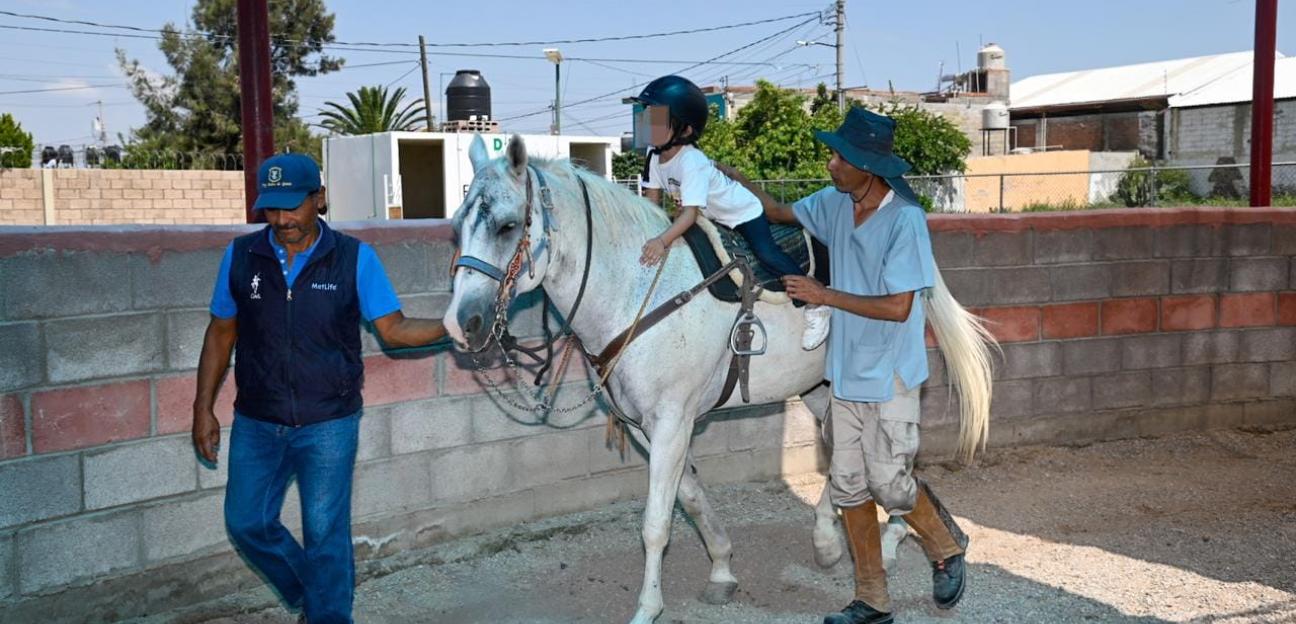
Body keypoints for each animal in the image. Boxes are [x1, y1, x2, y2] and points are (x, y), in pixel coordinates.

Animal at [443, 136, 990, 622]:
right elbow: (690, 498)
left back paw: (878, 542)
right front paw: (722, 571)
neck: (637, 289)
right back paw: (851, 540)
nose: (460, 324)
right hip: (821, 391)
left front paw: (647, 608)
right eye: (458, 227)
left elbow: (656, 523)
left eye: (508, 225)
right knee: (853, 462)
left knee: (888, 468)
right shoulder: (650, 427)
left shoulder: (671, 421)